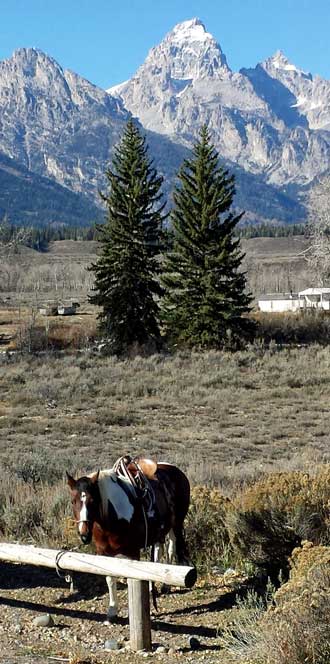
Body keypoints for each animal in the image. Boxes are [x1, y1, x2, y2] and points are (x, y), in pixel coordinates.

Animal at [66, 460, 191, 620]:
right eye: (72, 501)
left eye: (93, 501)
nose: (84, 534)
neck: (111, 519)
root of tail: (175, 469)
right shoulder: (104, 554)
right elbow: (110, 579)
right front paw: (112, 610)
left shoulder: (133, 552)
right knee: (159, 551)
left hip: (177, 524)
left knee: (171, 549)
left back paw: (166, 586)